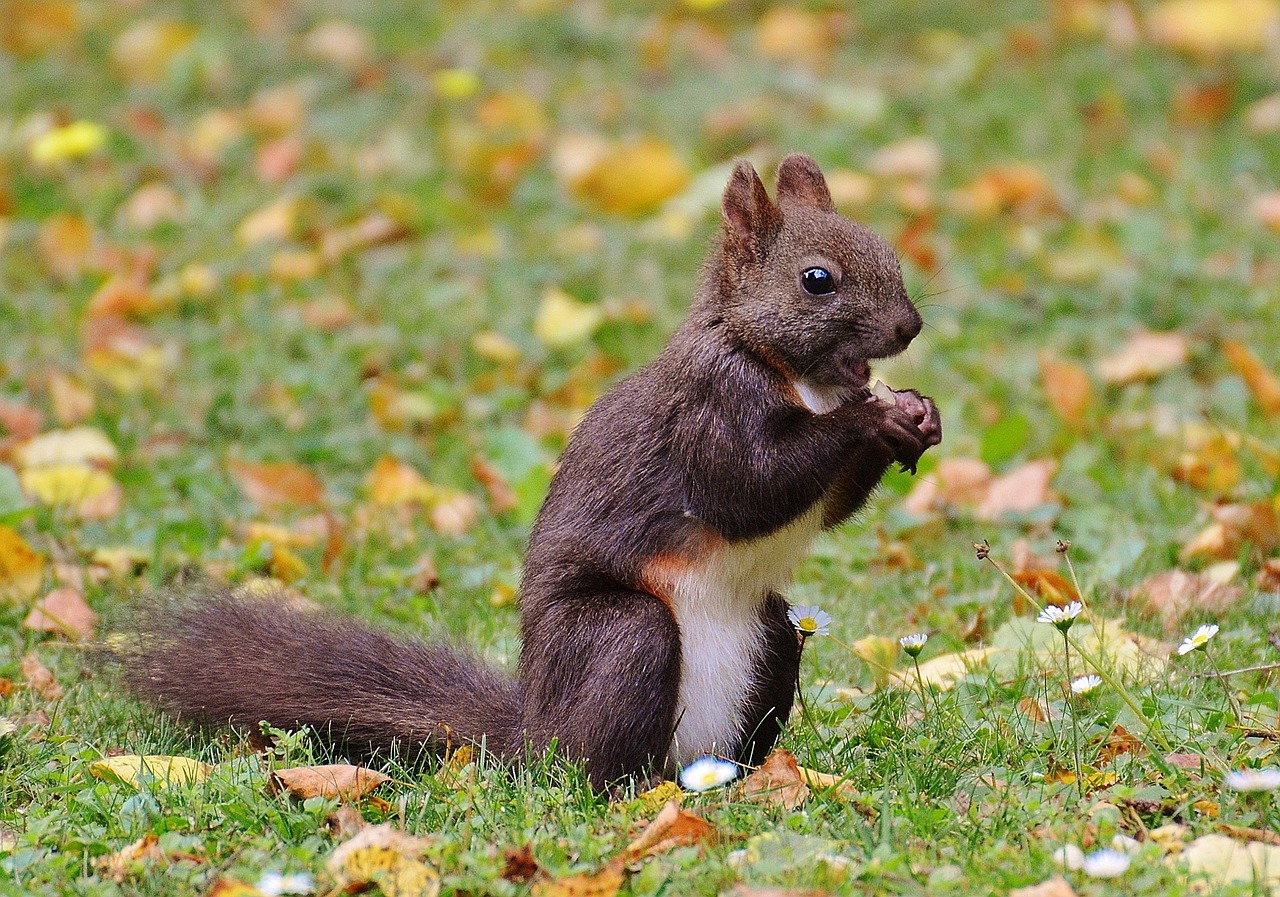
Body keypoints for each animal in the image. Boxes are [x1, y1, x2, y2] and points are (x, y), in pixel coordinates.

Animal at [127, 157, 942, 788]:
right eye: (816, 280)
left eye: (888, 251)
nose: (910, 328)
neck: (789, 372)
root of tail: (536, 733)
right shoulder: (709, 412)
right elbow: (751, 489)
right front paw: (871, 419)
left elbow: (826, 505)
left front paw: (917, 416)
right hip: (619, 639)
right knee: (595, 756)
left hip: (770, 637)